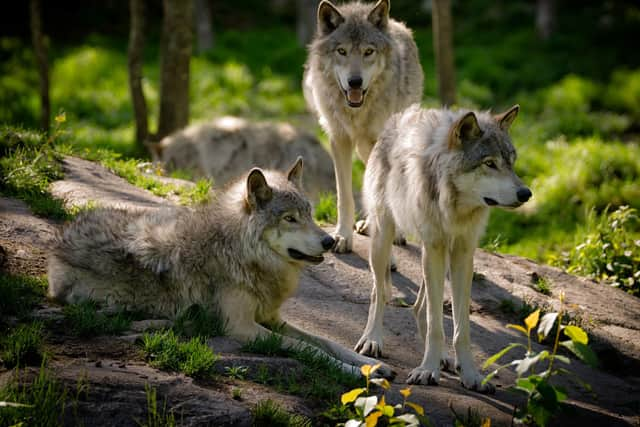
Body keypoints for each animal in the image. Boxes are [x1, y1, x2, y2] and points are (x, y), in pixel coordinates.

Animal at [47, 158, 392, 378]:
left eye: (309, 213)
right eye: (289, 219)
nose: (330, 241)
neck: (239, 251)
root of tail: (61, 238)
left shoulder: (272, 318)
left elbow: (328, 342)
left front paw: (369, 364)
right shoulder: (242, 327)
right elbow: (310, 349)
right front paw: (358, 374)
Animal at [302, 0, 422, 252]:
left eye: (368, 52)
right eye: (342, 51)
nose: (355, 82)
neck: (356, 112)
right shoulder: (339, 139)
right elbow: (344, 196)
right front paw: (342, 237)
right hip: (363, 148)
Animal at [352, 103, 532, 392]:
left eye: (511, 163)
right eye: (489, 163)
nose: (526, 194)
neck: (454, 206)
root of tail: (397, 119)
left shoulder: (462, 253)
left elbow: (460, 327)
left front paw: (469, 373)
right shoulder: (434, 247)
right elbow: (436, 323)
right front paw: (427, 370)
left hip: (438, 257)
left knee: (419, 309)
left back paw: (445, 358)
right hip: (383, 239)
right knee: (379, 293)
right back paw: (372, 340)